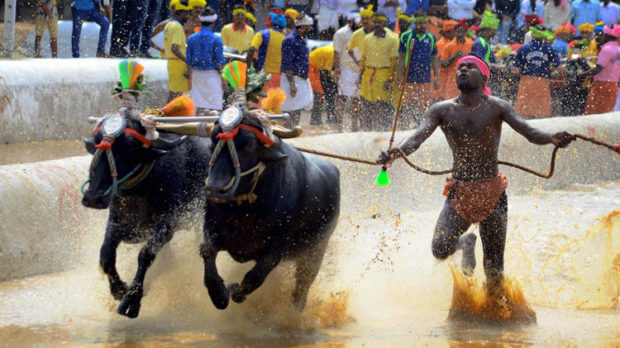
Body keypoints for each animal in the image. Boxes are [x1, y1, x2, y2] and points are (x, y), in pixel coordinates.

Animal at [81, 111, 211, 318]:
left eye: (128, 149)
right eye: (96, 144)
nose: (93, 197)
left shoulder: (169, 223)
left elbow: (146, 253)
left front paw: (132, 299)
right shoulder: (117, 219)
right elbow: (106, 254)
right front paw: (118, 289)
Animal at [201, 113, 340, 310]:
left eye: (249, 147)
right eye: (212, 146)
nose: (214, 189)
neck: (243, 210)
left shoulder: (274, 251)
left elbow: (255, 277)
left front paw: (235, 290)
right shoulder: (211, 229)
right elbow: (209, 260)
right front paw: (219, 295)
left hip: (316, 249)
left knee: (303, 284)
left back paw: (295, 309)